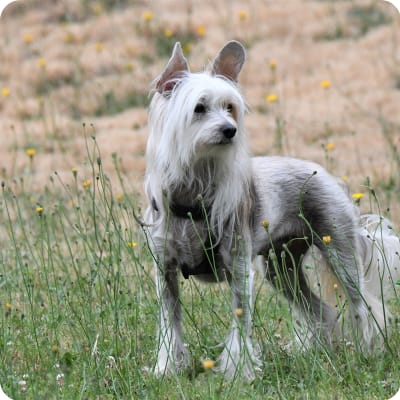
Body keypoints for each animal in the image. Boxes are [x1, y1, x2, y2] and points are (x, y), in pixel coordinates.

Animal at [145, 40, 400, 382]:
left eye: (230, 107)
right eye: (199, 108)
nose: (230, 130)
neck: (194, 192)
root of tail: (331, 178)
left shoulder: (240, 269)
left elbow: (240, 324)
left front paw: (238, 373)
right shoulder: (166, 271)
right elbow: (169, 325)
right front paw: (166, 369)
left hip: (340, 254)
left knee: (365, 307)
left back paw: (368, 353)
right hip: (282, 268)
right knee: (320, 310)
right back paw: (319, 351)